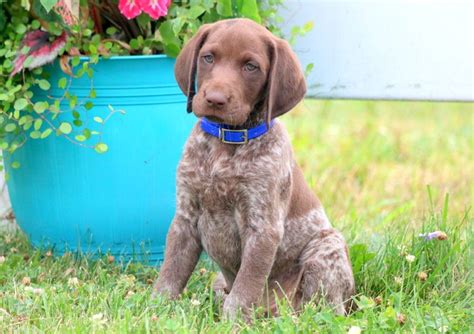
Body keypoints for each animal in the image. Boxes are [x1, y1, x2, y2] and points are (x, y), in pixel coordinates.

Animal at [154, 18, 354, 320]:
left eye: (251, 67)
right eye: (208, 58)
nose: (215, 99)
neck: (227, 141)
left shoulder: (262, 228)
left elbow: (246, 285)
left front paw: (233, 321)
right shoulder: (185, 218)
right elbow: (171, 271)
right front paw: (154, 308)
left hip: (327, 247)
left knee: (326, 309)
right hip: (218, 281)